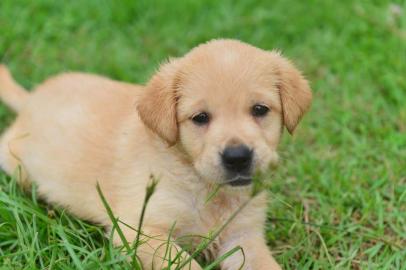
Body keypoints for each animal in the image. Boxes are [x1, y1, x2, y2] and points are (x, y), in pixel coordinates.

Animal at [0, 39, 312, 268]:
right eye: (200, 118)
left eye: (260, 109)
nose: (237, 157)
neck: (202, 185)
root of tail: (31, 99)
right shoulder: (139, 229)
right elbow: (184, 263)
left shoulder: (243, 235)